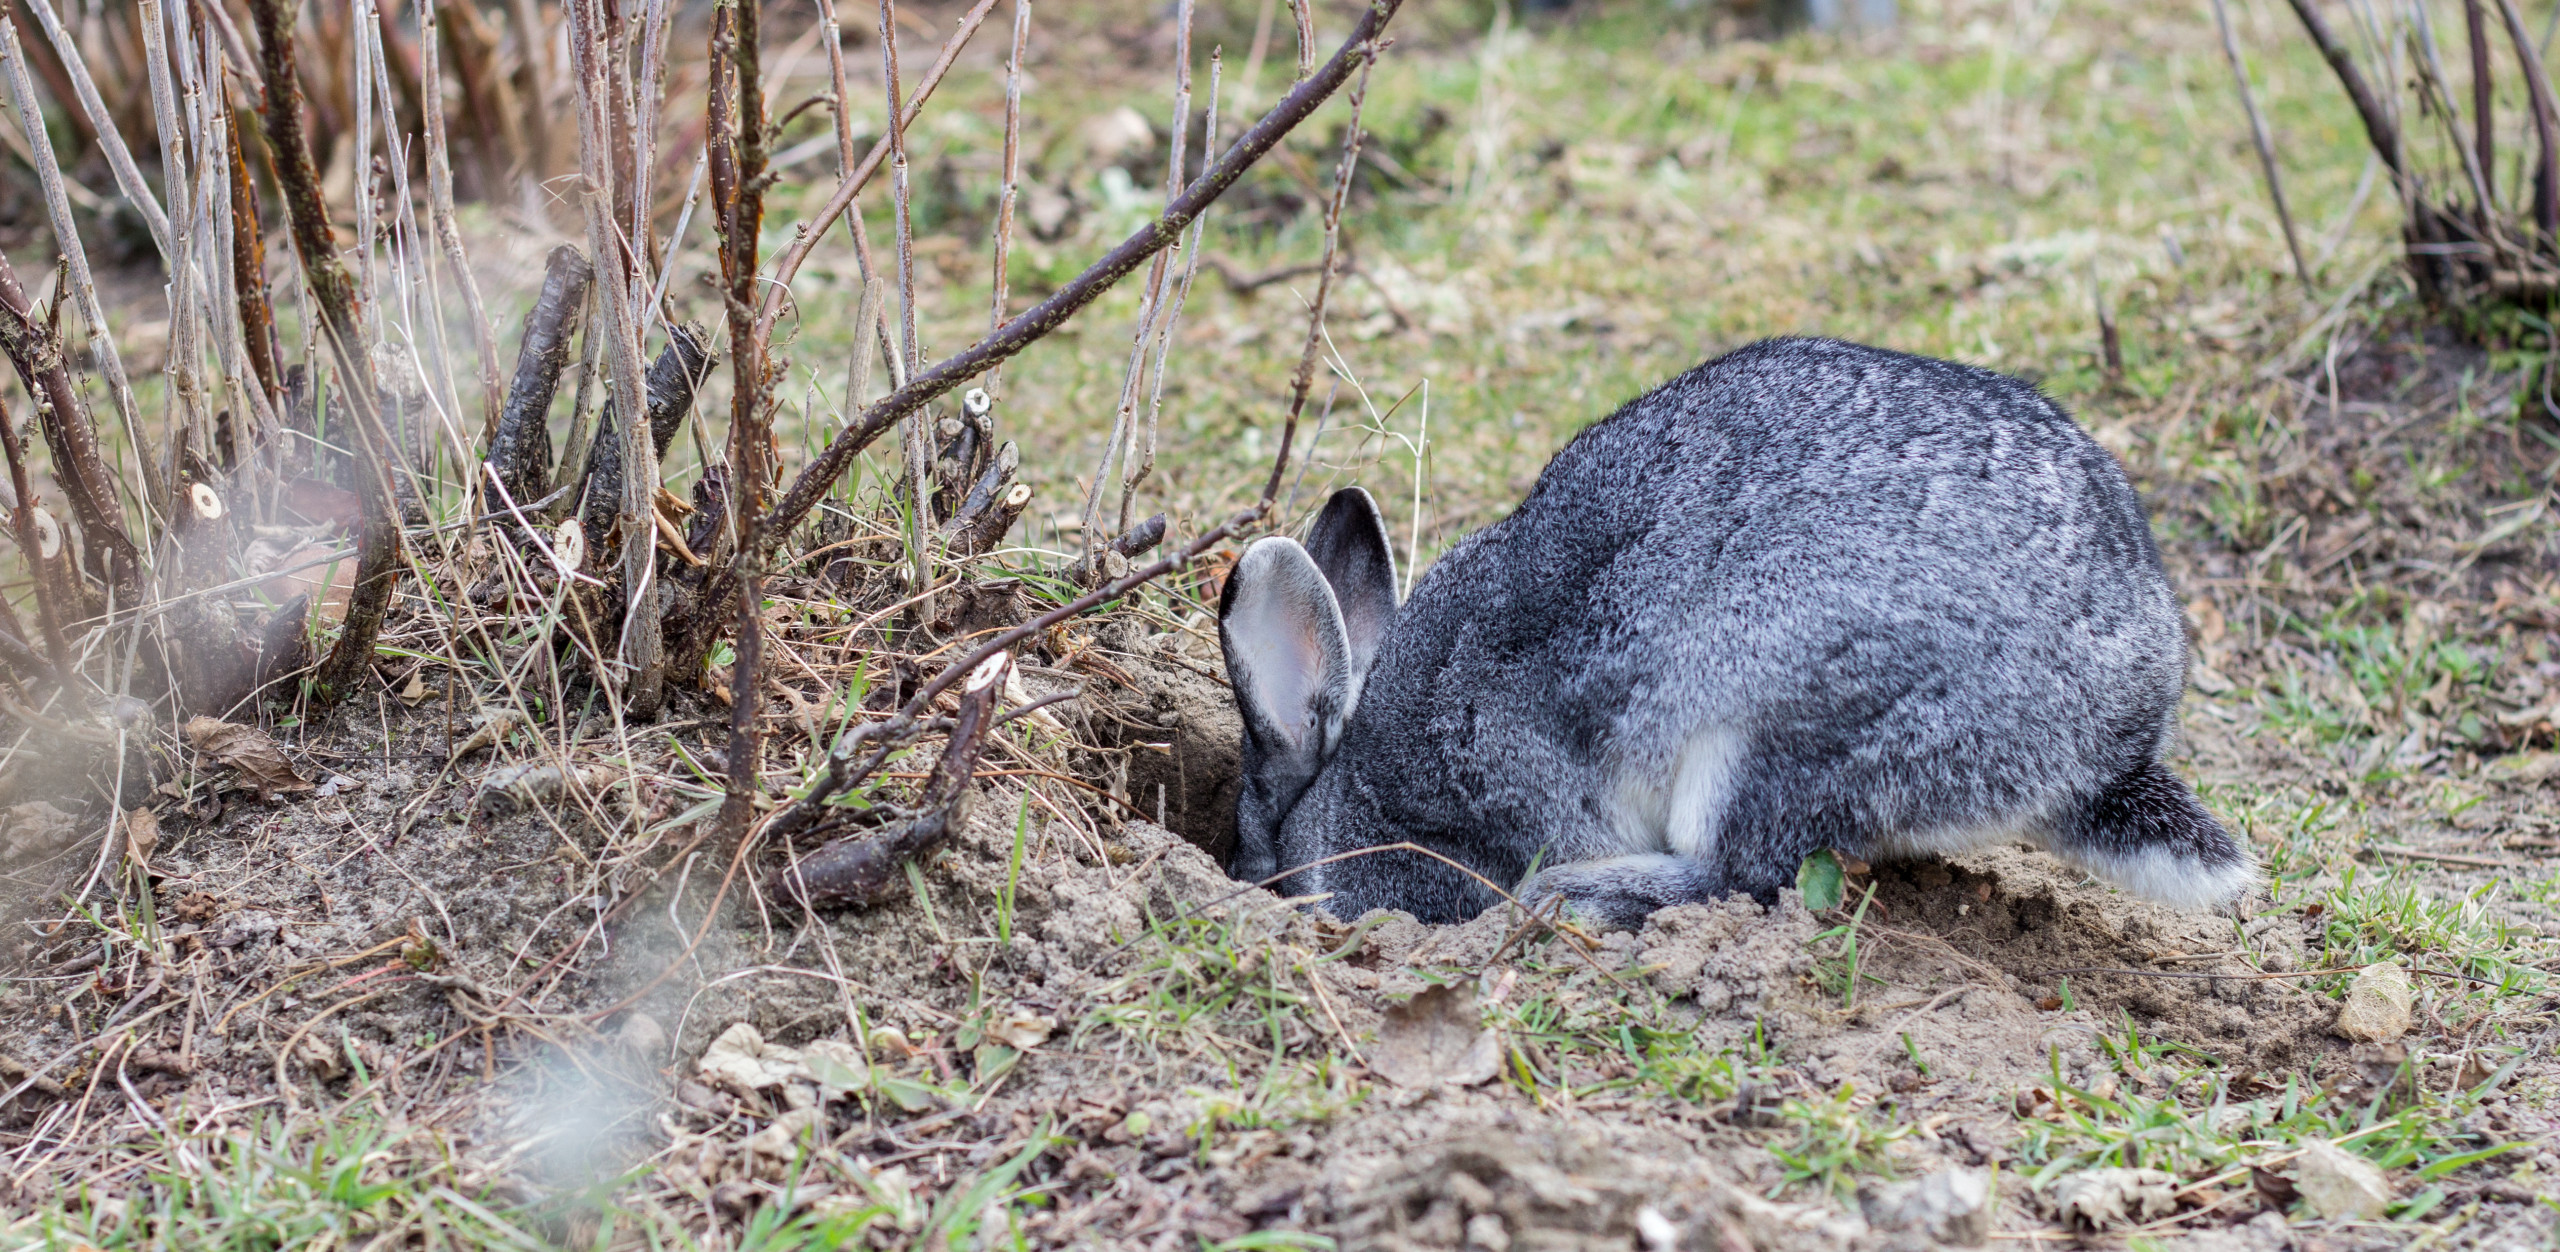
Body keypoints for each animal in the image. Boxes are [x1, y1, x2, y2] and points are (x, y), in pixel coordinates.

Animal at [1213, 332, 2242, 926]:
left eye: (1258, 857)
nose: (1246, 879)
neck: (1344, 786)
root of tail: (2105, 747)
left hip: (1768, 729)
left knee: (1745, 874)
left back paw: (1584, 895)